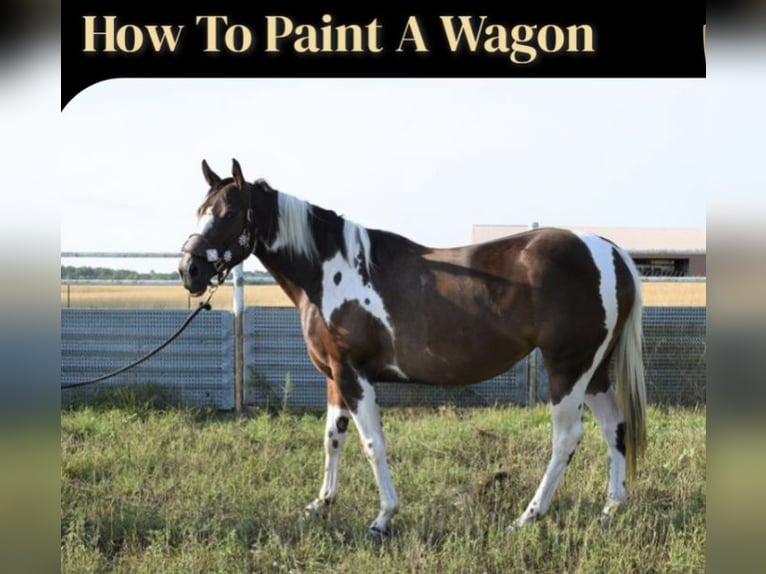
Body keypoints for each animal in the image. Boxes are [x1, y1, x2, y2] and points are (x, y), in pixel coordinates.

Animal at [178, 159, 647, 539]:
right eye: (200, 211)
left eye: (229, 214)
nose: (189, 269)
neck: (330, 272)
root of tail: (608, 251)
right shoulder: (334, 375)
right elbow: (333, 439)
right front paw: (320, 505)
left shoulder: (354, 374)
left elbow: (372, 443)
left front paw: (383, 518)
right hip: (594, 371)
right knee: (614, 427)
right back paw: (611, 509)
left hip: (567, 369)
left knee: (567, 437)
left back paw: (528, 516)